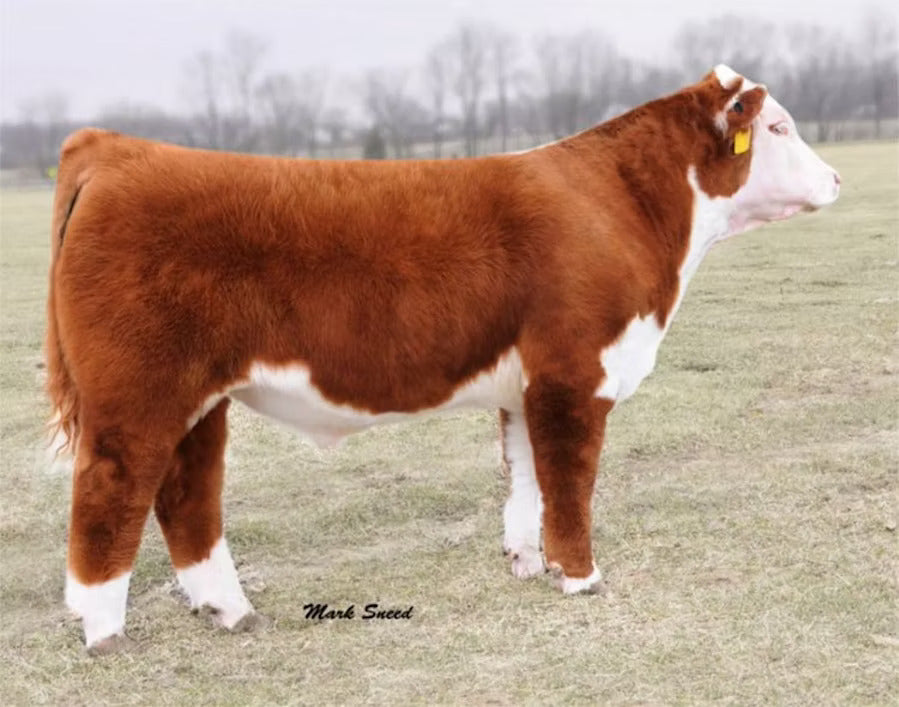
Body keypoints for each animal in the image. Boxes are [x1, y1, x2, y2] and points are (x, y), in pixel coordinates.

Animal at [46, 65, 840, 653]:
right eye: (778, 127)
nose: (835, 179)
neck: (626, 208)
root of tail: (115, 148)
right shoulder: (573, 373)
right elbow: (570, 482)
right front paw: (581, 578)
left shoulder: (526, 387)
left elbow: (526, 481)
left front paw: (529, 563)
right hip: (137, 395)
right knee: (111, 490)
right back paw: (104, 632)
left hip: (198, 399)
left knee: (187, 495)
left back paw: (230, 611)